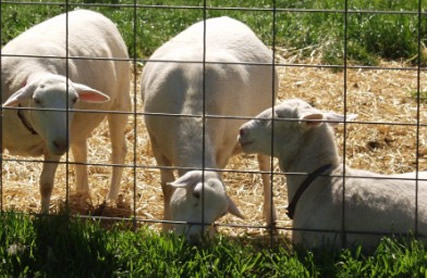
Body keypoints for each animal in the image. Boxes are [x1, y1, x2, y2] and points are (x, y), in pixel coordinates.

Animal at [0, 8, 131, 213]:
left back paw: (109, 200)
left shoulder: (53, 147)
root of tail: (90, 11)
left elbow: (46, 185)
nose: (61, 143)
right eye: (37, 100)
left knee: (119, 151)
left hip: (120, 102)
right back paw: (82, 194)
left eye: (74, 99)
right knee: (80, 151)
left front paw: (44, 216)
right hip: (77, 125)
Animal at [142, 16, 280, 243]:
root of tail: (227, 18)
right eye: (196, 194)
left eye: (221, 213)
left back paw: (271, 218)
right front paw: (165, 228)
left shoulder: (225, 147)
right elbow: (166, 187)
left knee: (265, 168)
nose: (196, 240)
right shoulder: (156, 144)